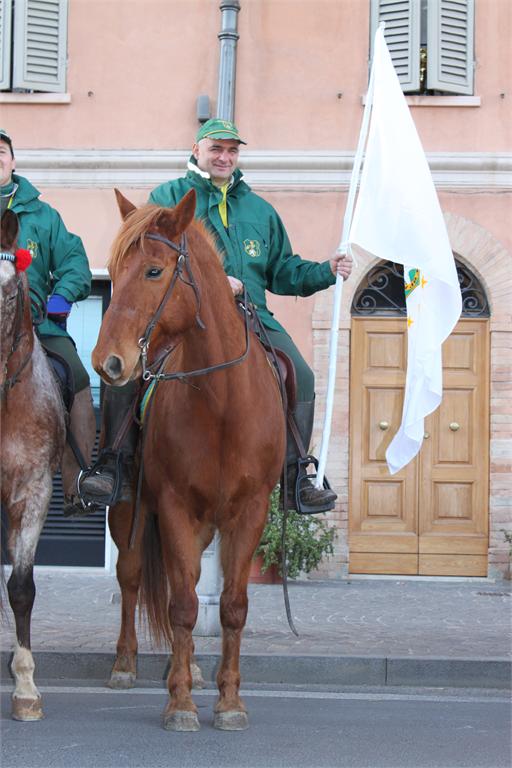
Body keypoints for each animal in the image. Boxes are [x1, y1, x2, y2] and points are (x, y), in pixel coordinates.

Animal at [92, 189, 285, 731]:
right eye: (111, 271)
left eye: (154, 271)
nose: (107, 363)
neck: (222, 404)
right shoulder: (175, 508)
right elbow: (180, 606)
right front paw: (179, 704)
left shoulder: (249, 512)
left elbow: (232, 607)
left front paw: (229, 701)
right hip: (131, 509)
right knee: (133, 577)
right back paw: (126, 664)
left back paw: (197, 671)